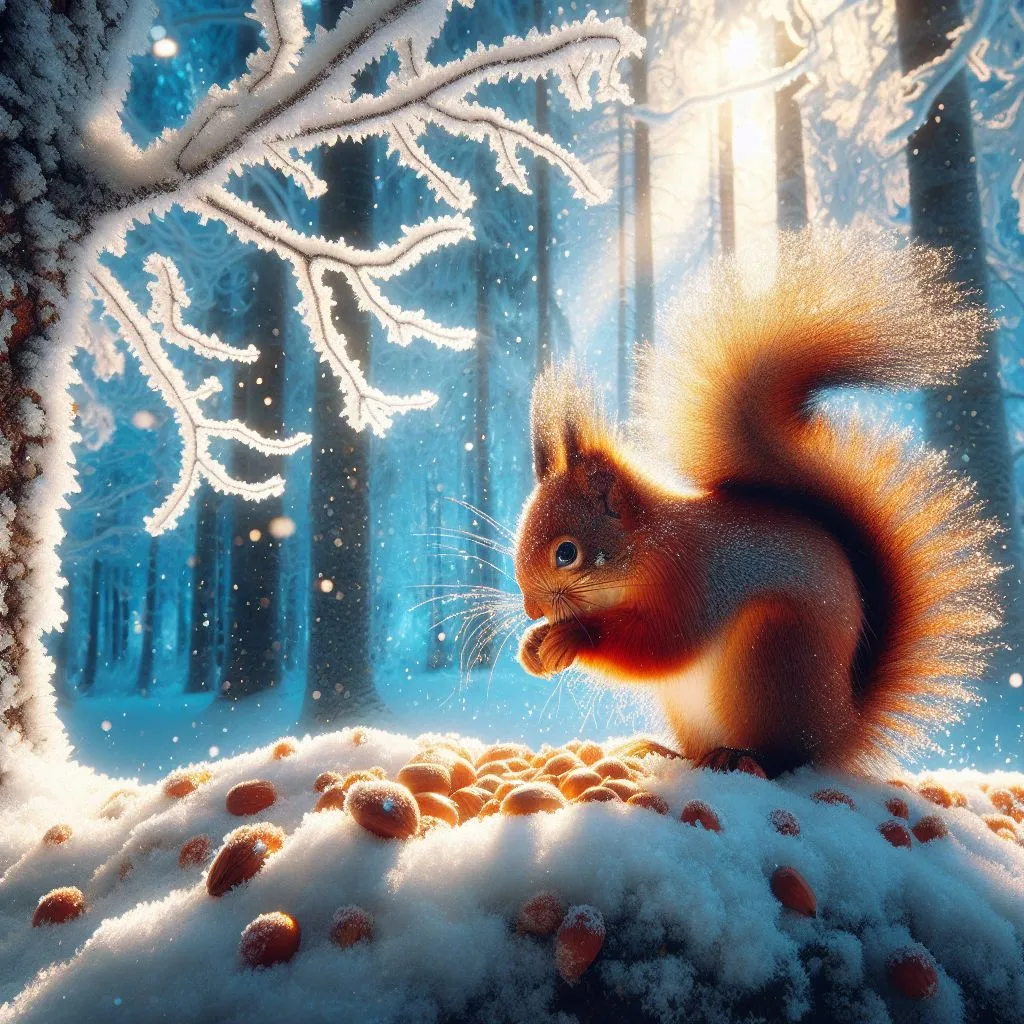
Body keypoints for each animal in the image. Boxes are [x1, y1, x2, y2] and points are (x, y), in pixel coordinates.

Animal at [514, 230, 1002, 777]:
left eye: (566, 553)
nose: (531, 608)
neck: (646, 547)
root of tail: (841, 733)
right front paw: (533, 647)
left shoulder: (693, 580)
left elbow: (662, 645)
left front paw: (571, 639)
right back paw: (664, 751)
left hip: (771, 651)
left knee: (782, 759)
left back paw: (740, 757)